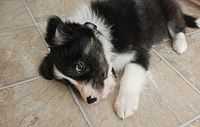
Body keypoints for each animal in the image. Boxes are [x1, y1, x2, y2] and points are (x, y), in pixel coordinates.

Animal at [39, 0, 200, 119]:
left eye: (79, 66)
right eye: (68, 83)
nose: (91, 100)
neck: (102, 32)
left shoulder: (139, 52)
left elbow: (131, 73)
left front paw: (125, 104)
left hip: (169, 11)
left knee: (178, 26)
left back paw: (180, 44)